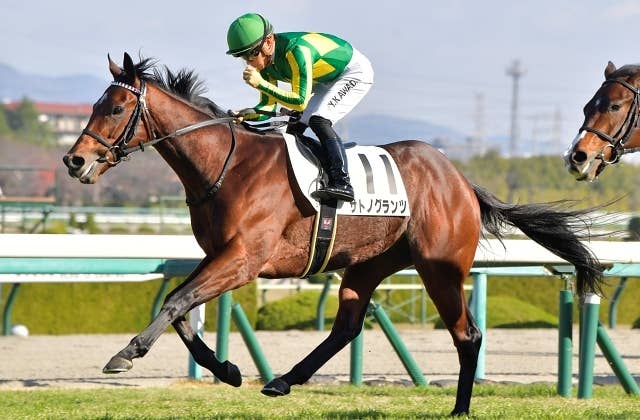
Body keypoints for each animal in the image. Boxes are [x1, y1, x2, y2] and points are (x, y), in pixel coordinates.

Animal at [63, 53, 603, 416]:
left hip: (440, 268)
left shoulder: (245, 258)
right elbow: (179, 309)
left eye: (115, 109)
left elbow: (176, 302)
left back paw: (460, 408)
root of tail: (461, 181)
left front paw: (124, 355)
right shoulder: (219, 254)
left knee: (466, 334)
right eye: (95, 105)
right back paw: (282, 381)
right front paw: (230, 371)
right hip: (367, 264)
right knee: (346, 327)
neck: (227, 165)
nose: (75, 160)